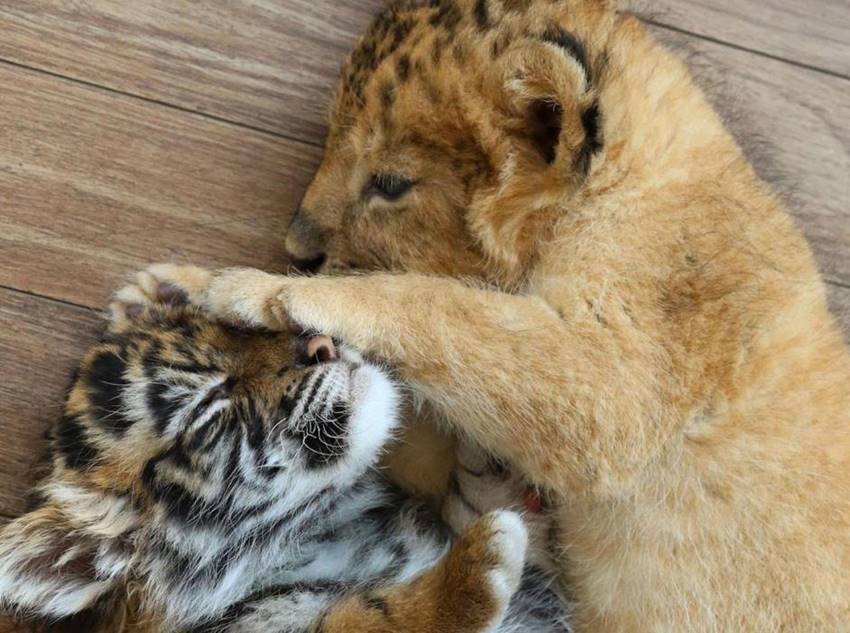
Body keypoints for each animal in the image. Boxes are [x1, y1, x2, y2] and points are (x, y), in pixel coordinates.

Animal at [0, 264, 569, 633]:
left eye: (234, 330)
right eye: (211, 400)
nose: (319, 343)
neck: (338, 526)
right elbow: (361, 617)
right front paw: (475, 568)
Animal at [202, 0, 850, 631]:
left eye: (389, 182)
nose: (295, 250)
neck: (629, 177)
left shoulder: (623, 386)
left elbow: (443, 309)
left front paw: (251, 289)